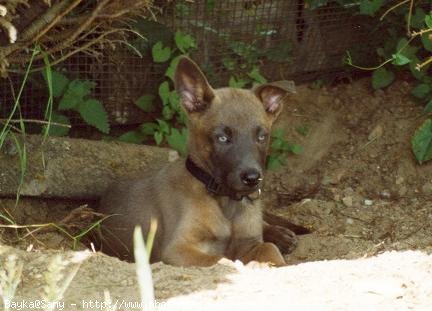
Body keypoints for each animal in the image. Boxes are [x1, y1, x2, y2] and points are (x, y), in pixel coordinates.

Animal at [98, 57, 296, 266]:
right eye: (222, 138)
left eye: (262, 137)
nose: (252, 178)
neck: (225, 202)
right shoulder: (178, 249)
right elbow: (223, 260)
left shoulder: (250, 242)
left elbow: (269, 248)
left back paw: (281, 235)